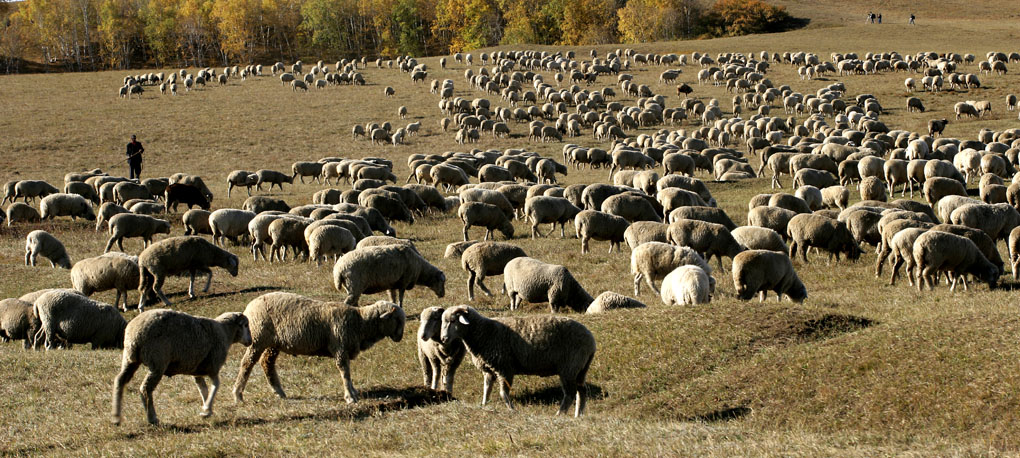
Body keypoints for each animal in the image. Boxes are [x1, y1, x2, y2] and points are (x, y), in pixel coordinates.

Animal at [111, 306, 250, 424]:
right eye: (245, 325)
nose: (250, 341)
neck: (225, 332)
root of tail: (135, 335)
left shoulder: (198, 370)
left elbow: (203, 389)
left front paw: (207, 409)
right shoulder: (213, 366)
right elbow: (216, 386)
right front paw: (207, 410)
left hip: (130, 359)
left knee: (120, 380)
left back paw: (116, 416)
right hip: (157, 361)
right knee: (145, 388)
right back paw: (152, 418)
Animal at [233, 293, 403, 403]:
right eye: (397, 319)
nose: (400, 337)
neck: (360, 323)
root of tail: (249, 306)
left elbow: (347, 372)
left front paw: (353, 392)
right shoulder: (340, 348)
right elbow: (345, 372)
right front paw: (350, 396)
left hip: (273, 343)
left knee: (267, 363)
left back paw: (279, 392)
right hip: (257, 339)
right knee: (247, 363)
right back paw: (238, 395)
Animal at [440, 306, 595, 416]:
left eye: (453, 321)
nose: (443, 339)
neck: (483, 332)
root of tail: (591, 340)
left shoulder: (505, 369)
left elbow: (503, 393)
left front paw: (512, 410)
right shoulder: (489, 370)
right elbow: (486, 389)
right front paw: (484, 405)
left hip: (569, 367)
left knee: (570, 394)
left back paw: (559, 414)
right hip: (580, 369)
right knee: (582, 391)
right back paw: (578, 415)